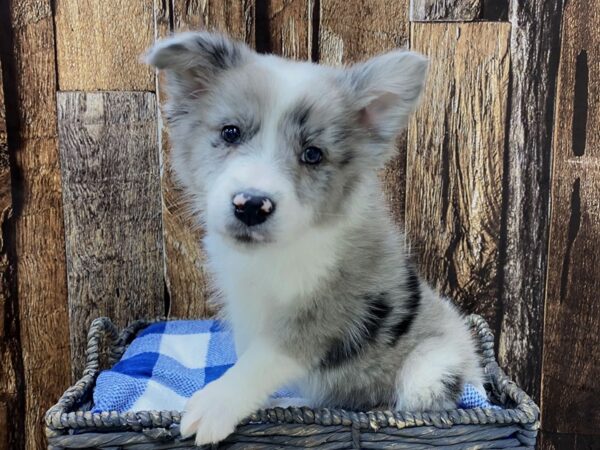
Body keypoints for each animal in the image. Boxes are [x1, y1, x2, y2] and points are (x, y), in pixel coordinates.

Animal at [148, 32, 486, 446]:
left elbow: (261, 360)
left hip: (432, 369)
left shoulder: (328, 309)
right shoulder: (244, 302)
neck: (274, 253)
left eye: (312, 154)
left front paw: (217, 404)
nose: (251, 206)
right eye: (230, 133)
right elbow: (248, 353)